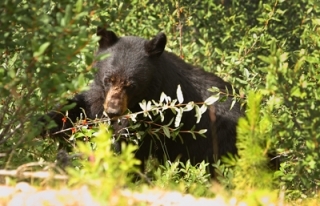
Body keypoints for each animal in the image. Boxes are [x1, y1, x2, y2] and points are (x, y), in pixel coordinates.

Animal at [45, 27, 242, 175]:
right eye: (109, 79)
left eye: (131, 85)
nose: (113, 111)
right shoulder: (99, 96)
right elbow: (80, 108)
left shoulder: (154, 115)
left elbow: (127, 147)